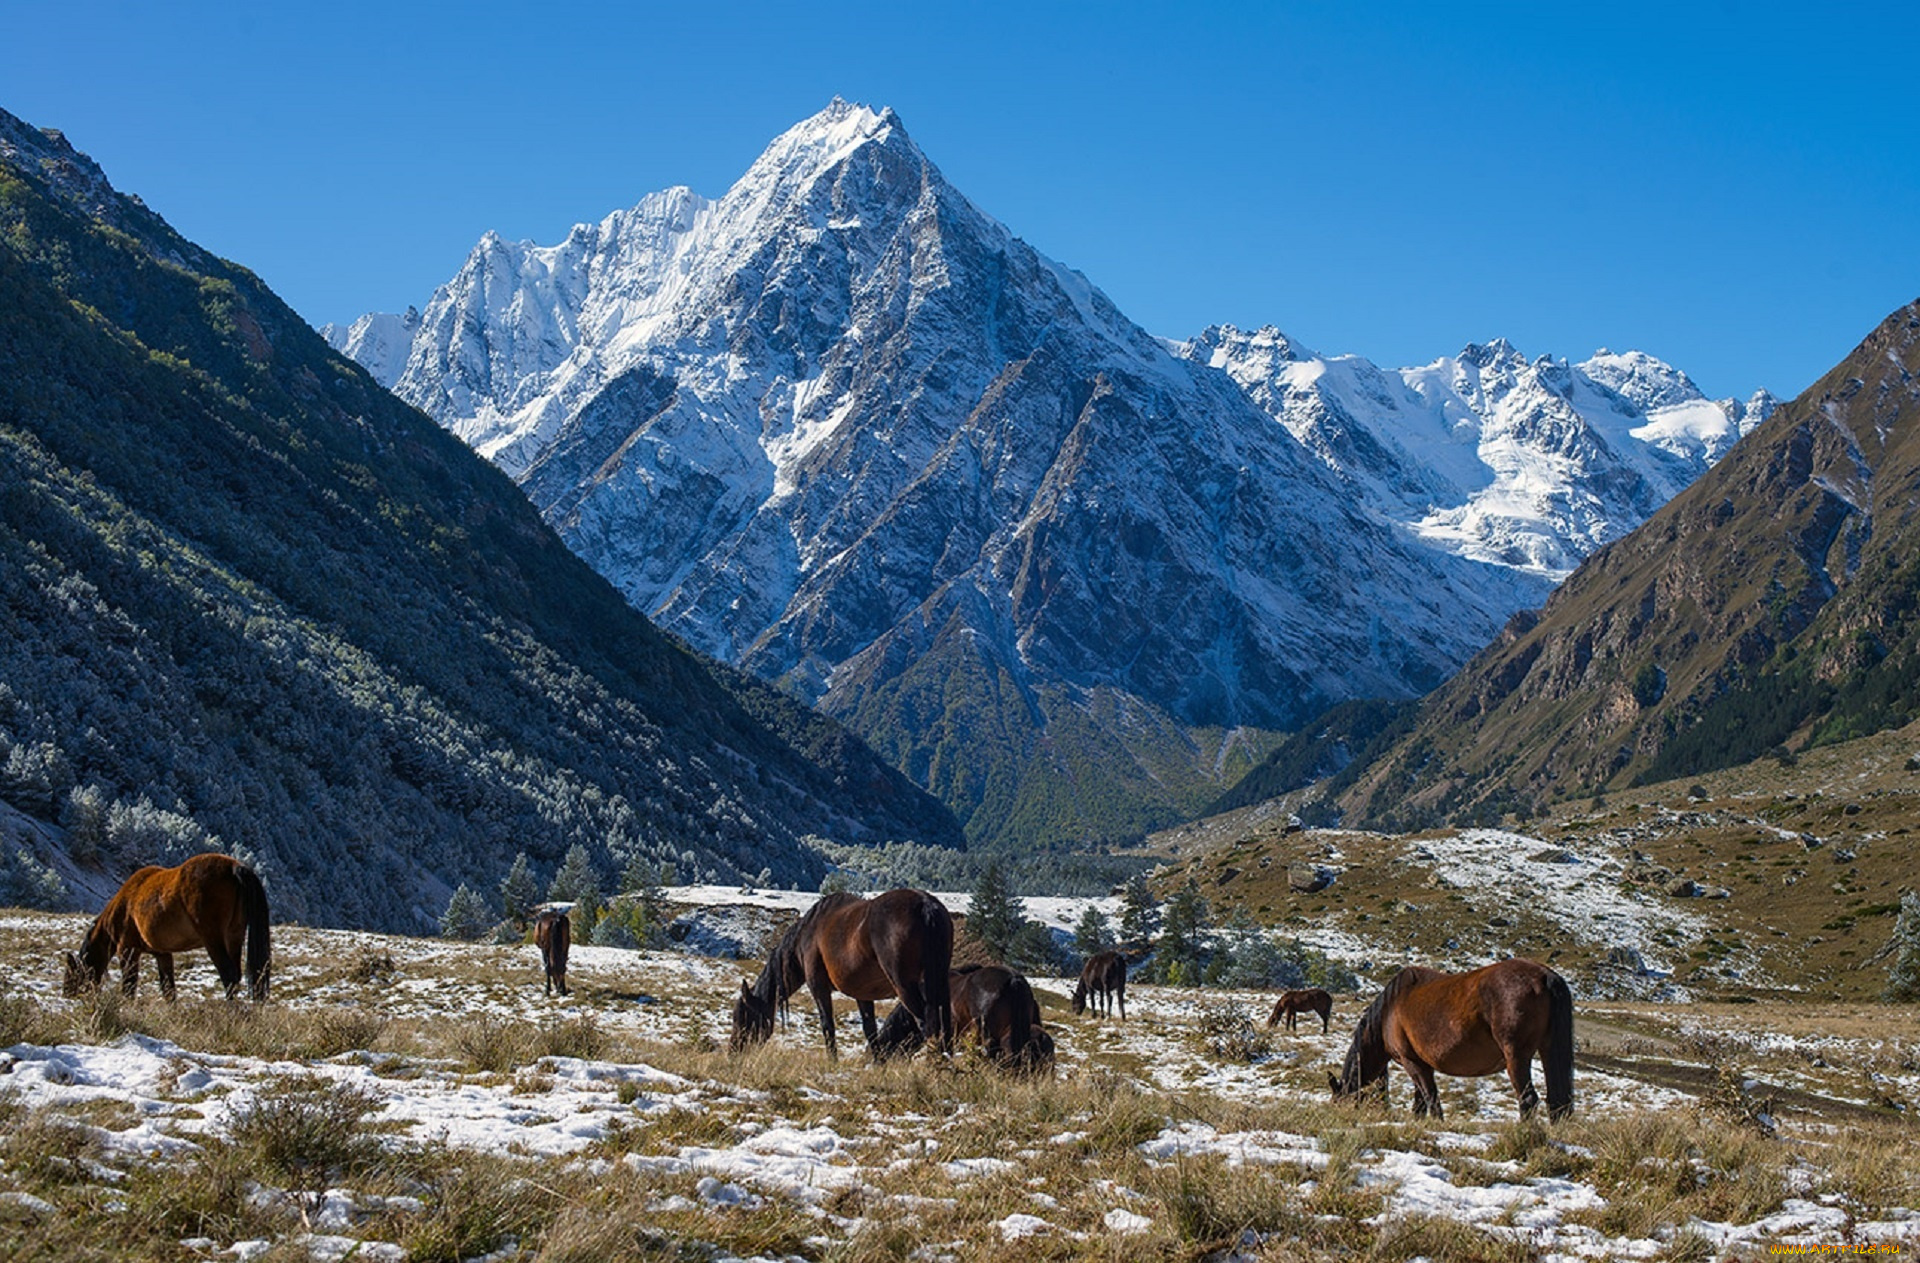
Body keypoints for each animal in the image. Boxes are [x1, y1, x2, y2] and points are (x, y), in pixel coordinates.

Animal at [61, 852, 270, 998]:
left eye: (71, 972)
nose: (66, 994)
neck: (123, 907)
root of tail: (234, 867)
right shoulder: (162, 954)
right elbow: (168, 990)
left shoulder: (127, 950)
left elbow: (129, 987)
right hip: (234, 937)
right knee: (236, 976)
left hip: (213, 940)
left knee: (228, 975)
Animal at [725, 890, 952, 1059]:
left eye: (742, 1016)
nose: (733, 1051)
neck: (807, 934)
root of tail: (925, 906)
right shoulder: (863, 993)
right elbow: (870, 1029)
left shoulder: (818, 987)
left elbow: (828, 1025)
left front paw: (832, 1061)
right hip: (940, 983)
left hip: (905, 986)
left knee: (926, 1023)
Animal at [1336, 959, 1574, 1113]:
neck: (1390, 1009)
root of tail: (1544, 976)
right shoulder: (1422, 1065)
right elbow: (1420, 1104)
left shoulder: (1412, 1063)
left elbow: (1431, 1100)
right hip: (1547, 1050)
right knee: (1558, 1101)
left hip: (1516, 1057)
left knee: (1528, 1099)